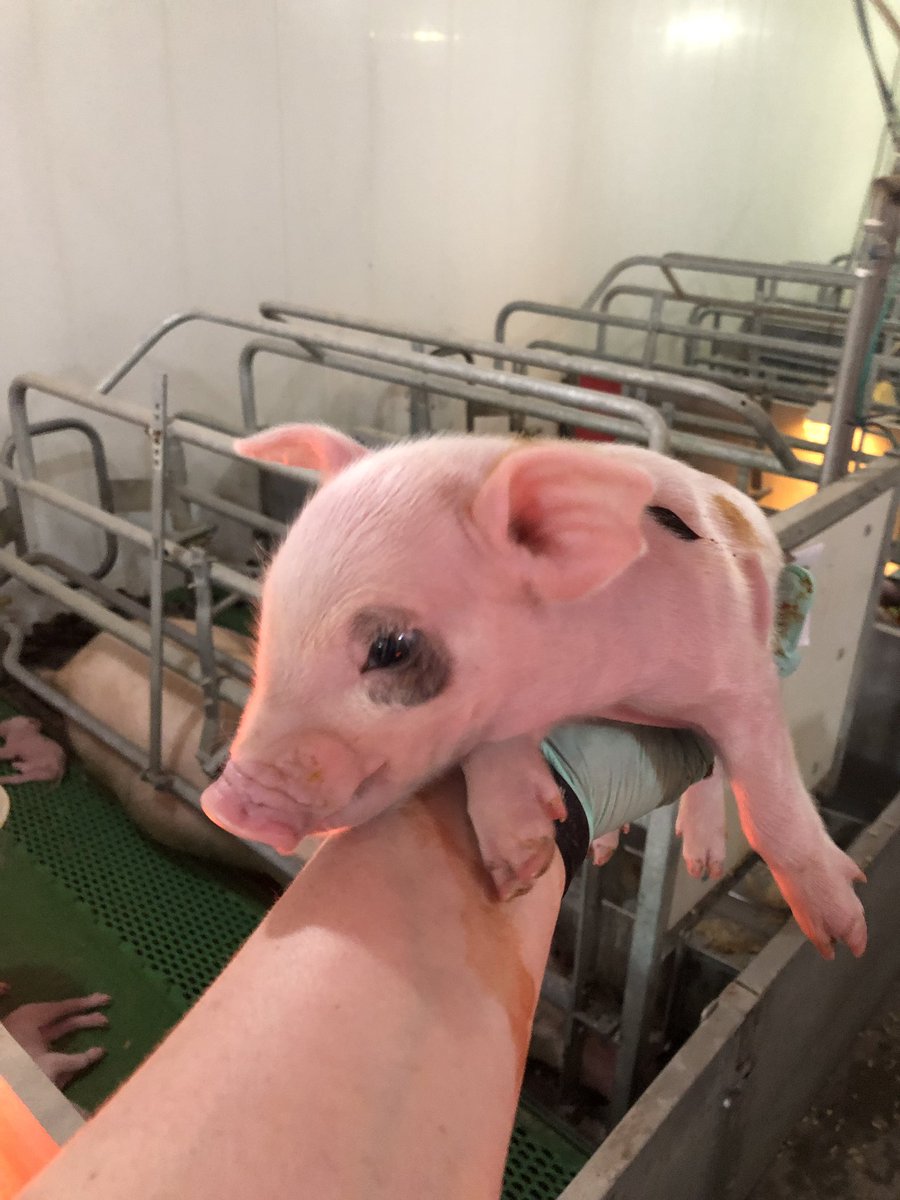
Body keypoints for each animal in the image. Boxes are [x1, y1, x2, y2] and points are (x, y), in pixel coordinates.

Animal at [200, 424, 866, 960]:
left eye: (391, 648)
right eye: (268, 613)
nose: (223, 803)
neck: (599, 690)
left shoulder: (739, 672)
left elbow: (770, 796)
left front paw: (843, 935)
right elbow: (495, 751)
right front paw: (521, 869)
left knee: (712, 780)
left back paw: (706, 863)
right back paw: (604, 848)